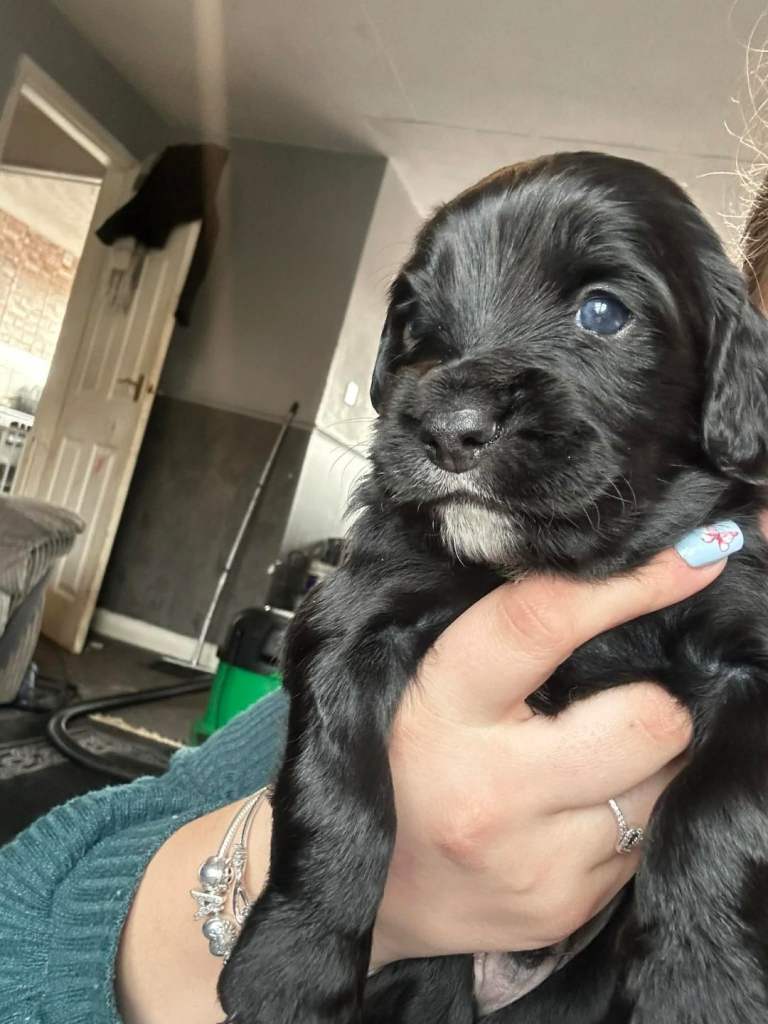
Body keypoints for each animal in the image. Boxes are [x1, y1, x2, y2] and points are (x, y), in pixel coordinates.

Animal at [219, 152, 768, 1023]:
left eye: (603, 312)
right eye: (415, 324)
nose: (450, 428)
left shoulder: (750, 648)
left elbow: (716, 811)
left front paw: (702, 987)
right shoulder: (352, 615)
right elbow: (336, 789)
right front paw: (291, 967)